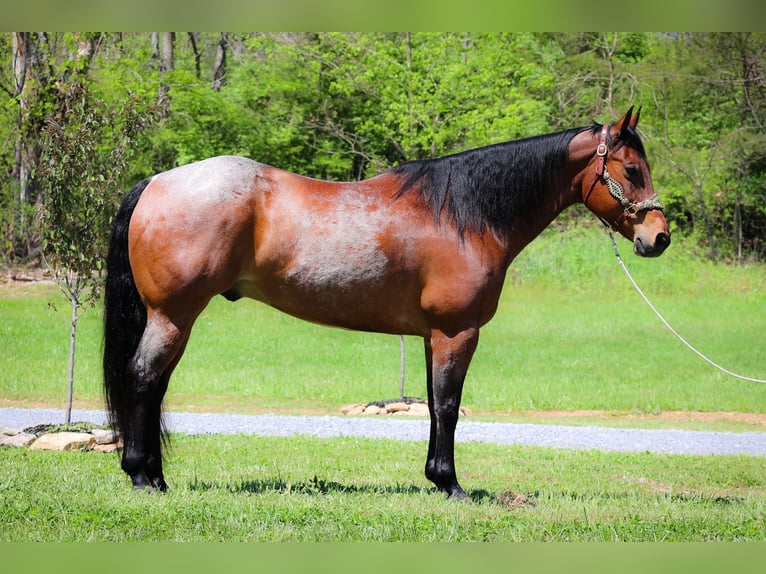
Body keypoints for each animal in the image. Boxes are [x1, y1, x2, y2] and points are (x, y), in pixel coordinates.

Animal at [103, 107, 672, 500]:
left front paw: (436, 478)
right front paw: (451, 485)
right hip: (173, 315)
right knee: (144, 378)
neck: (464, 216)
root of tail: (155, 182)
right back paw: (141, 476)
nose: (659, 237)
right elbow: (448, 406)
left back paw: (155, 476)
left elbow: (436, 405)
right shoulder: (457, 332)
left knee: (155, 385)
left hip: (174, 319)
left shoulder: (432, 336)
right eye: (630, 169)